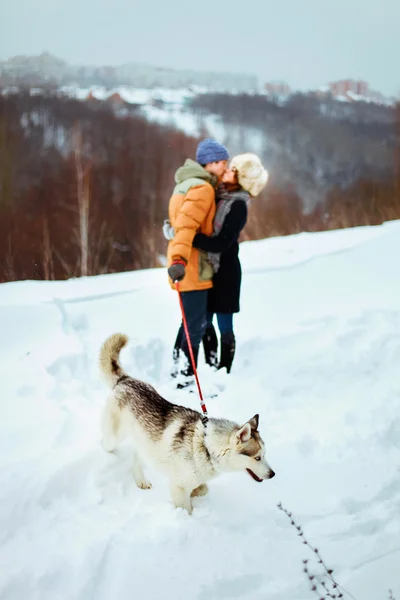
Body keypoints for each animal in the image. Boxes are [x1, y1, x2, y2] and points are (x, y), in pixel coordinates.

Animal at [100, 332, 276, 516]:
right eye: (257, 457)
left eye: (265, 455)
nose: (273, 474)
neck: (207, 447)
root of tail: (124, 379)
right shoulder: (178, 486)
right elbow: (186, 508)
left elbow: (203, 488)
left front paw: (197, 493)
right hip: (113, 437)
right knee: (107, 443)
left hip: (144, 442)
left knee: (137, 456)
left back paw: (141, 480)